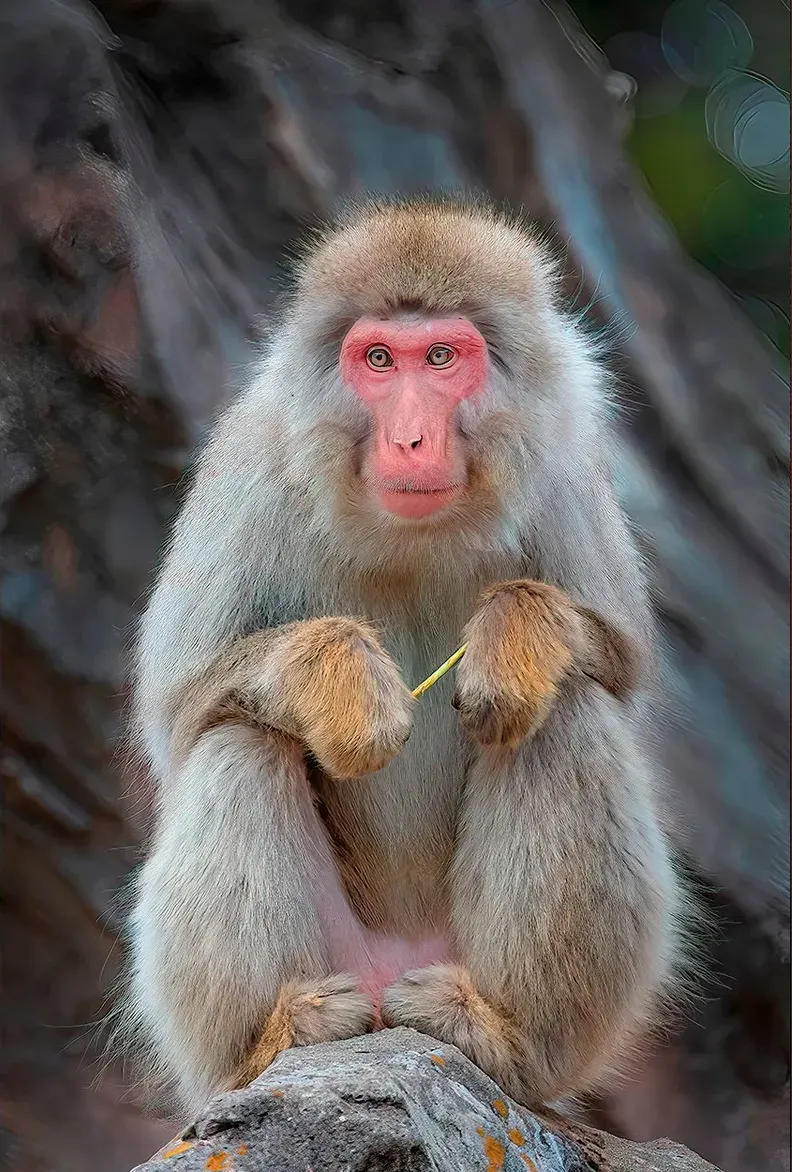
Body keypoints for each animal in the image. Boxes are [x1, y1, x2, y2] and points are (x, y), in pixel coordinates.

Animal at [125, 196, 689, 1116]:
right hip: (330, 970)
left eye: (443, 357)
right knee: (240, 740)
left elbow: (618, 664)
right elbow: (180, 711)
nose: (413, 439)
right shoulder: (252, 463)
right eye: (380, 360)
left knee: (564, 712)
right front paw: (339, 680)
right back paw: (277, 1037)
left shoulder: (568, 458)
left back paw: (501, 1035)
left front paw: (517, 637)